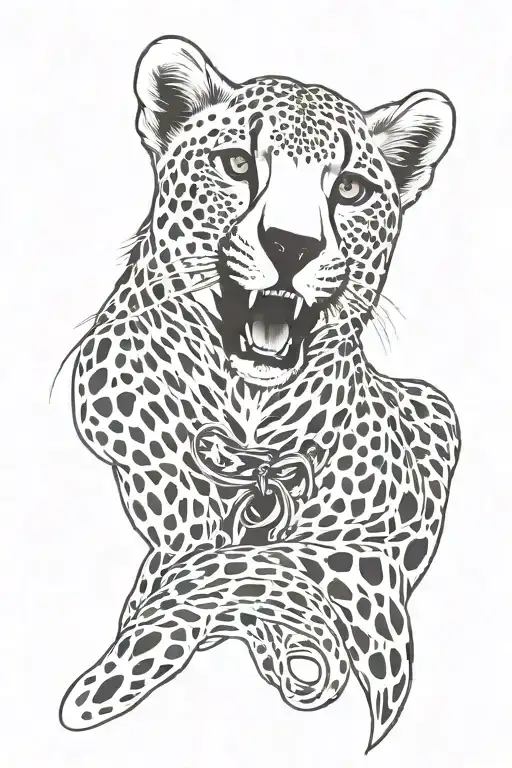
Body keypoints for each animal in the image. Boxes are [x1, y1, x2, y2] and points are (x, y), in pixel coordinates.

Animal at [59, 35, 461, 753]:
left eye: (349, 188)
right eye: (238, 165)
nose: (291, 246)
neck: (253, 428)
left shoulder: (379, 540)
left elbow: (240, 573)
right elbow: (203, 566)